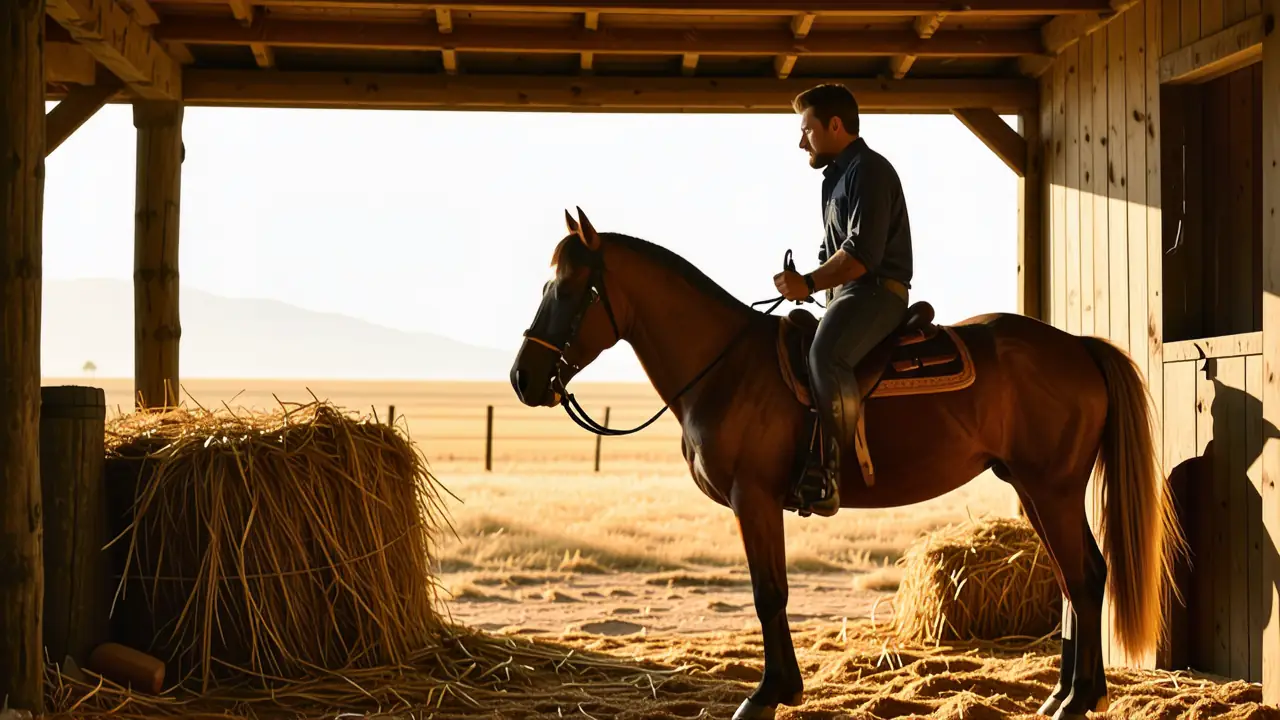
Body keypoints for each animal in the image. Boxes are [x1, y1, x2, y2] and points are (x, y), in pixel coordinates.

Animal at [509, 208, 1184, 720]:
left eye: (569, 289)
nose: (523, 378)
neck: (727, 367)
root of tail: (1078, 347)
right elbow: (770, 593)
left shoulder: (753, 498)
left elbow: (769, 593)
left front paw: (769, 695)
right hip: (1034, 489)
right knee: (1074, 580)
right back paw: (1063, 695)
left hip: (1053, 488)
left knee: (1086, 577)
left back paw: (1079, 700)